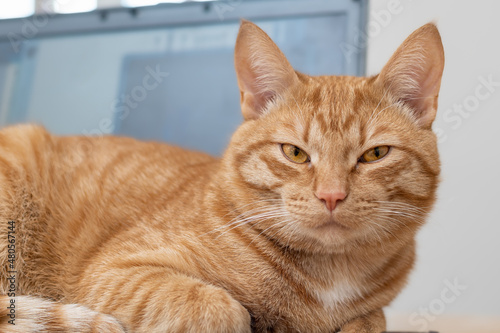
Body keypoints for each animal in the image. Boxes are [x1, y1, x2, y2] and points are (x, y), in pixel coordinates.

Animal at [0, 21, 446, 332]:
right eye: (295, 153)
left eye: (375, 154)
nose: (332, 196)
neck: (331, 276)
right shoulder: (112, 273)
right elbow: (220, 308)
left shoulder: (374, 311)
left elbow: (373, 320)